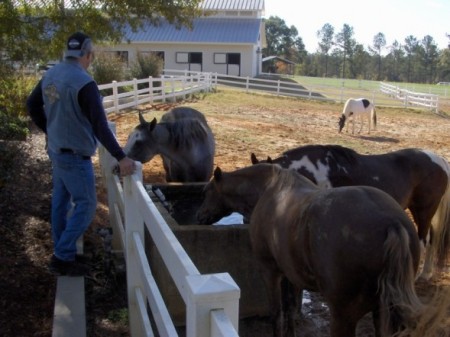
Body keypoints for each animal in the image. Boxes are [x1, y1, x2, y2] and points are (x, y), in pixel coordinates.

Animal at [196, 163, 422, 336]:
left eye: (206, 192)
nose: (199, 217)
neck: (270, 190)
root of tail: (392, 223)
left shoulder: (270, 271)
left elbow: (276, 313)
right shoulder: (289, 273)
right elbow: (289, 309)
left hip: (344, 317)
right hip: (382, 313)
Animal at [250, 144, 450, 278]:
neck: (318, 170)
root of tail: (440, 160)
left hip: (423, 210)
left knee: (423, 241)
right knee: (432, 238)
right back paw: (426, 274)